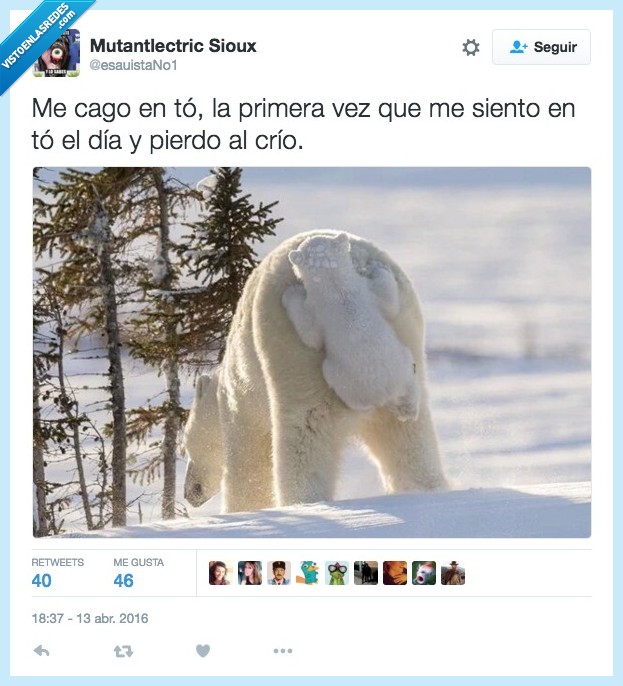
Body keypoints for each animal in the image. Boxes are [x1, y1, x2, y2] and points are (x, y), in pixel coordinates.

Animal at [183, 230, 447, 514]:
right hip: (405, 336)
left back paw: (303, 502)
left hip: (292, 356)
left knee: (304, 433)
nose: (190, 493)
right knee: (409, 437)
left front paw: (242, 510)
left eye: (184, 446)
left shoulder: (241, 401)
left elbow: (249, 462)